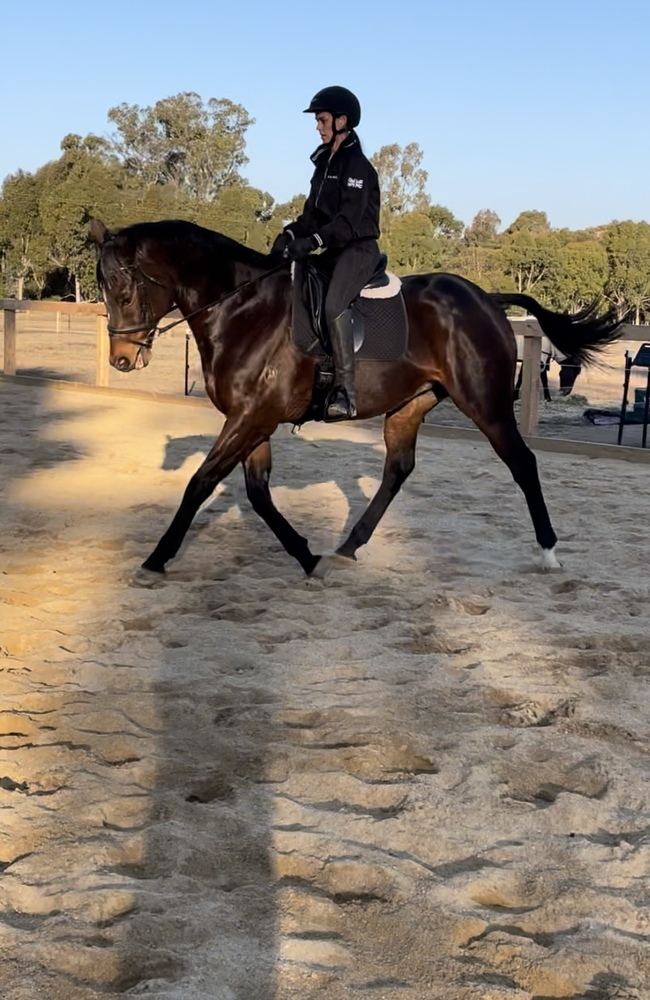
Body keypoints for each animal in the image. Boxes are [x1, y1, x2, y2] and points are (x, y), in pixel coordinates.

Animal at [89, 218, 623, 577]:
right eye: (103, 288)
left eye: (125, 290)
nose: (122, 360)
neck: (243, 309)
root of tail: (487, 299)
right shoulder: (253, 420)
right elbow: (257, 494)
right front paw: (308, 556)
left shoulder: (252, 417)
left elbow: (200, 483)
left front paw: (157, 558)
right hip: (409, 406)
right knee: (398, 470)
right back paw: (349, 545)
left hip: (486, 406)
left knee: (522, 463)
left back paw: (549, 551)